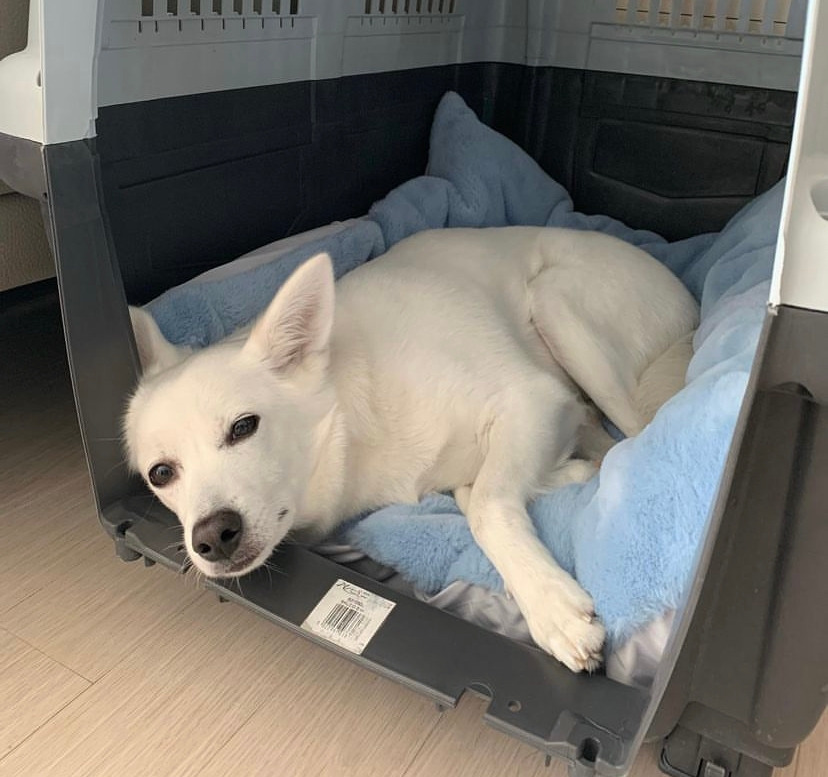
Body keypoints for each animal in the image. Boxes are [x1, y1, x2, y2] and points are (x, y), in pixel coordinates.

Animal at [125, 226, 699, 672]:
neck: (355, 420)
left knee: (634, 432)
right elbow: (476, 491)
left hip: (558, 306)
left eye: (244, 427)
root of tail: (691, 303)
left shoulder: (532, 398)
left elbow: (488, 505)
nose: (210, 537)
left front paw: (552, 609)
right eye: (160, 474)